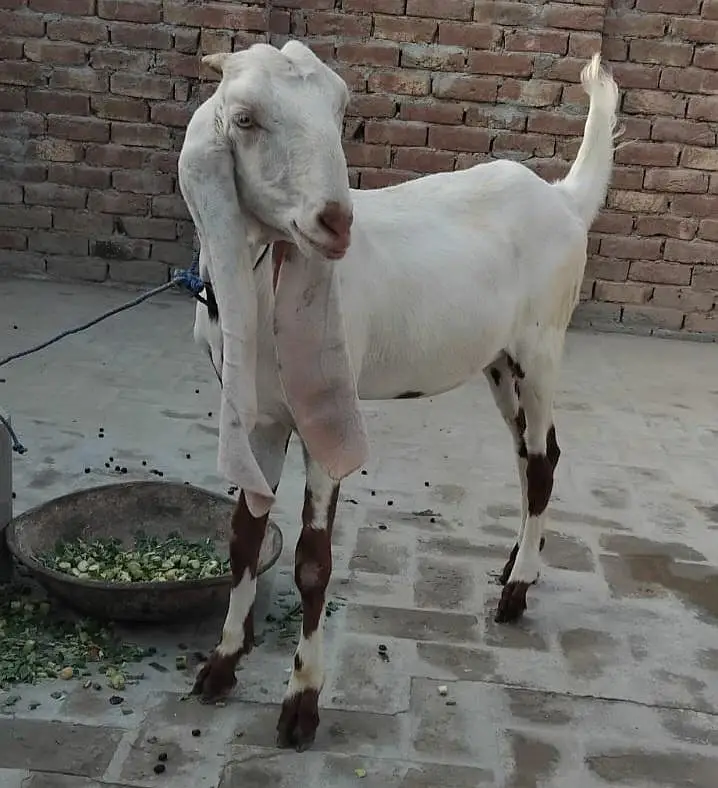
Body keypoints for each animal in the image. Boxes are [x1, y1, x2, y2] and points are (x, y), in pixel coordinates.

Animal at [178, 41, 619, 751]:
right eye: (244, 119)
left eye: (340, 112)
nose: (335, 222)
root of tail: (563, 200)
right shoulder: (260, 417)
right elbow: (245, 537)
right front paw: (219, 666)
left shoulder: (326, 413)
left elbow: (313, 562)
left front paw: (301, 706)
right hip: (499, 362)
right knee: (534, 455)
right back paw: (512, 566)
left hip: (543, 346)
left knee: (542, 460)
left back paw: (517, 592)